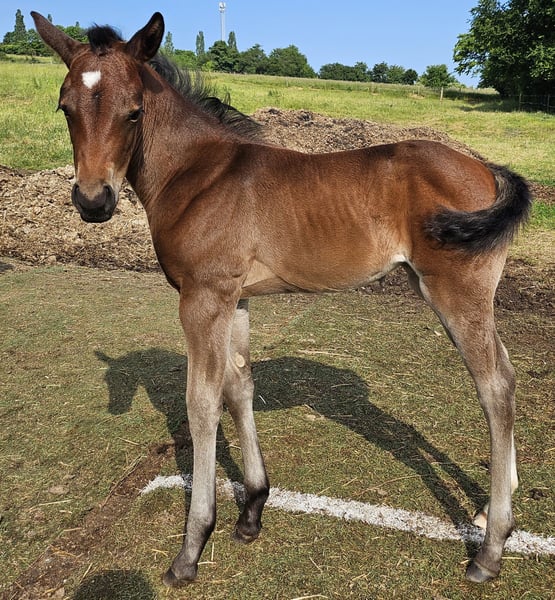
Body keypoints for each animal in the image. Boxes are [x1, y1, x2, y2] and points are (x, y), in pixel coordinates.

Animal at [32, 11, 531, 586]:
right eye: (65, 108)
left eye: (133, 111)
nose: (93, 202)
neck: (198, 174)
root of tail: (488, 170)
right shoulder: (235, 299)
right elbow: (239, 386)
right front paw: (252, 510)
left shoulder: (201, 298)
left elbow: (201, 403)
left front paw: (191, 546)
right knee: (507, 371)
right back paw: (493, 512)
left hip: (455, 291)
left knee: (496, 386)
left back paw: (490, 549)